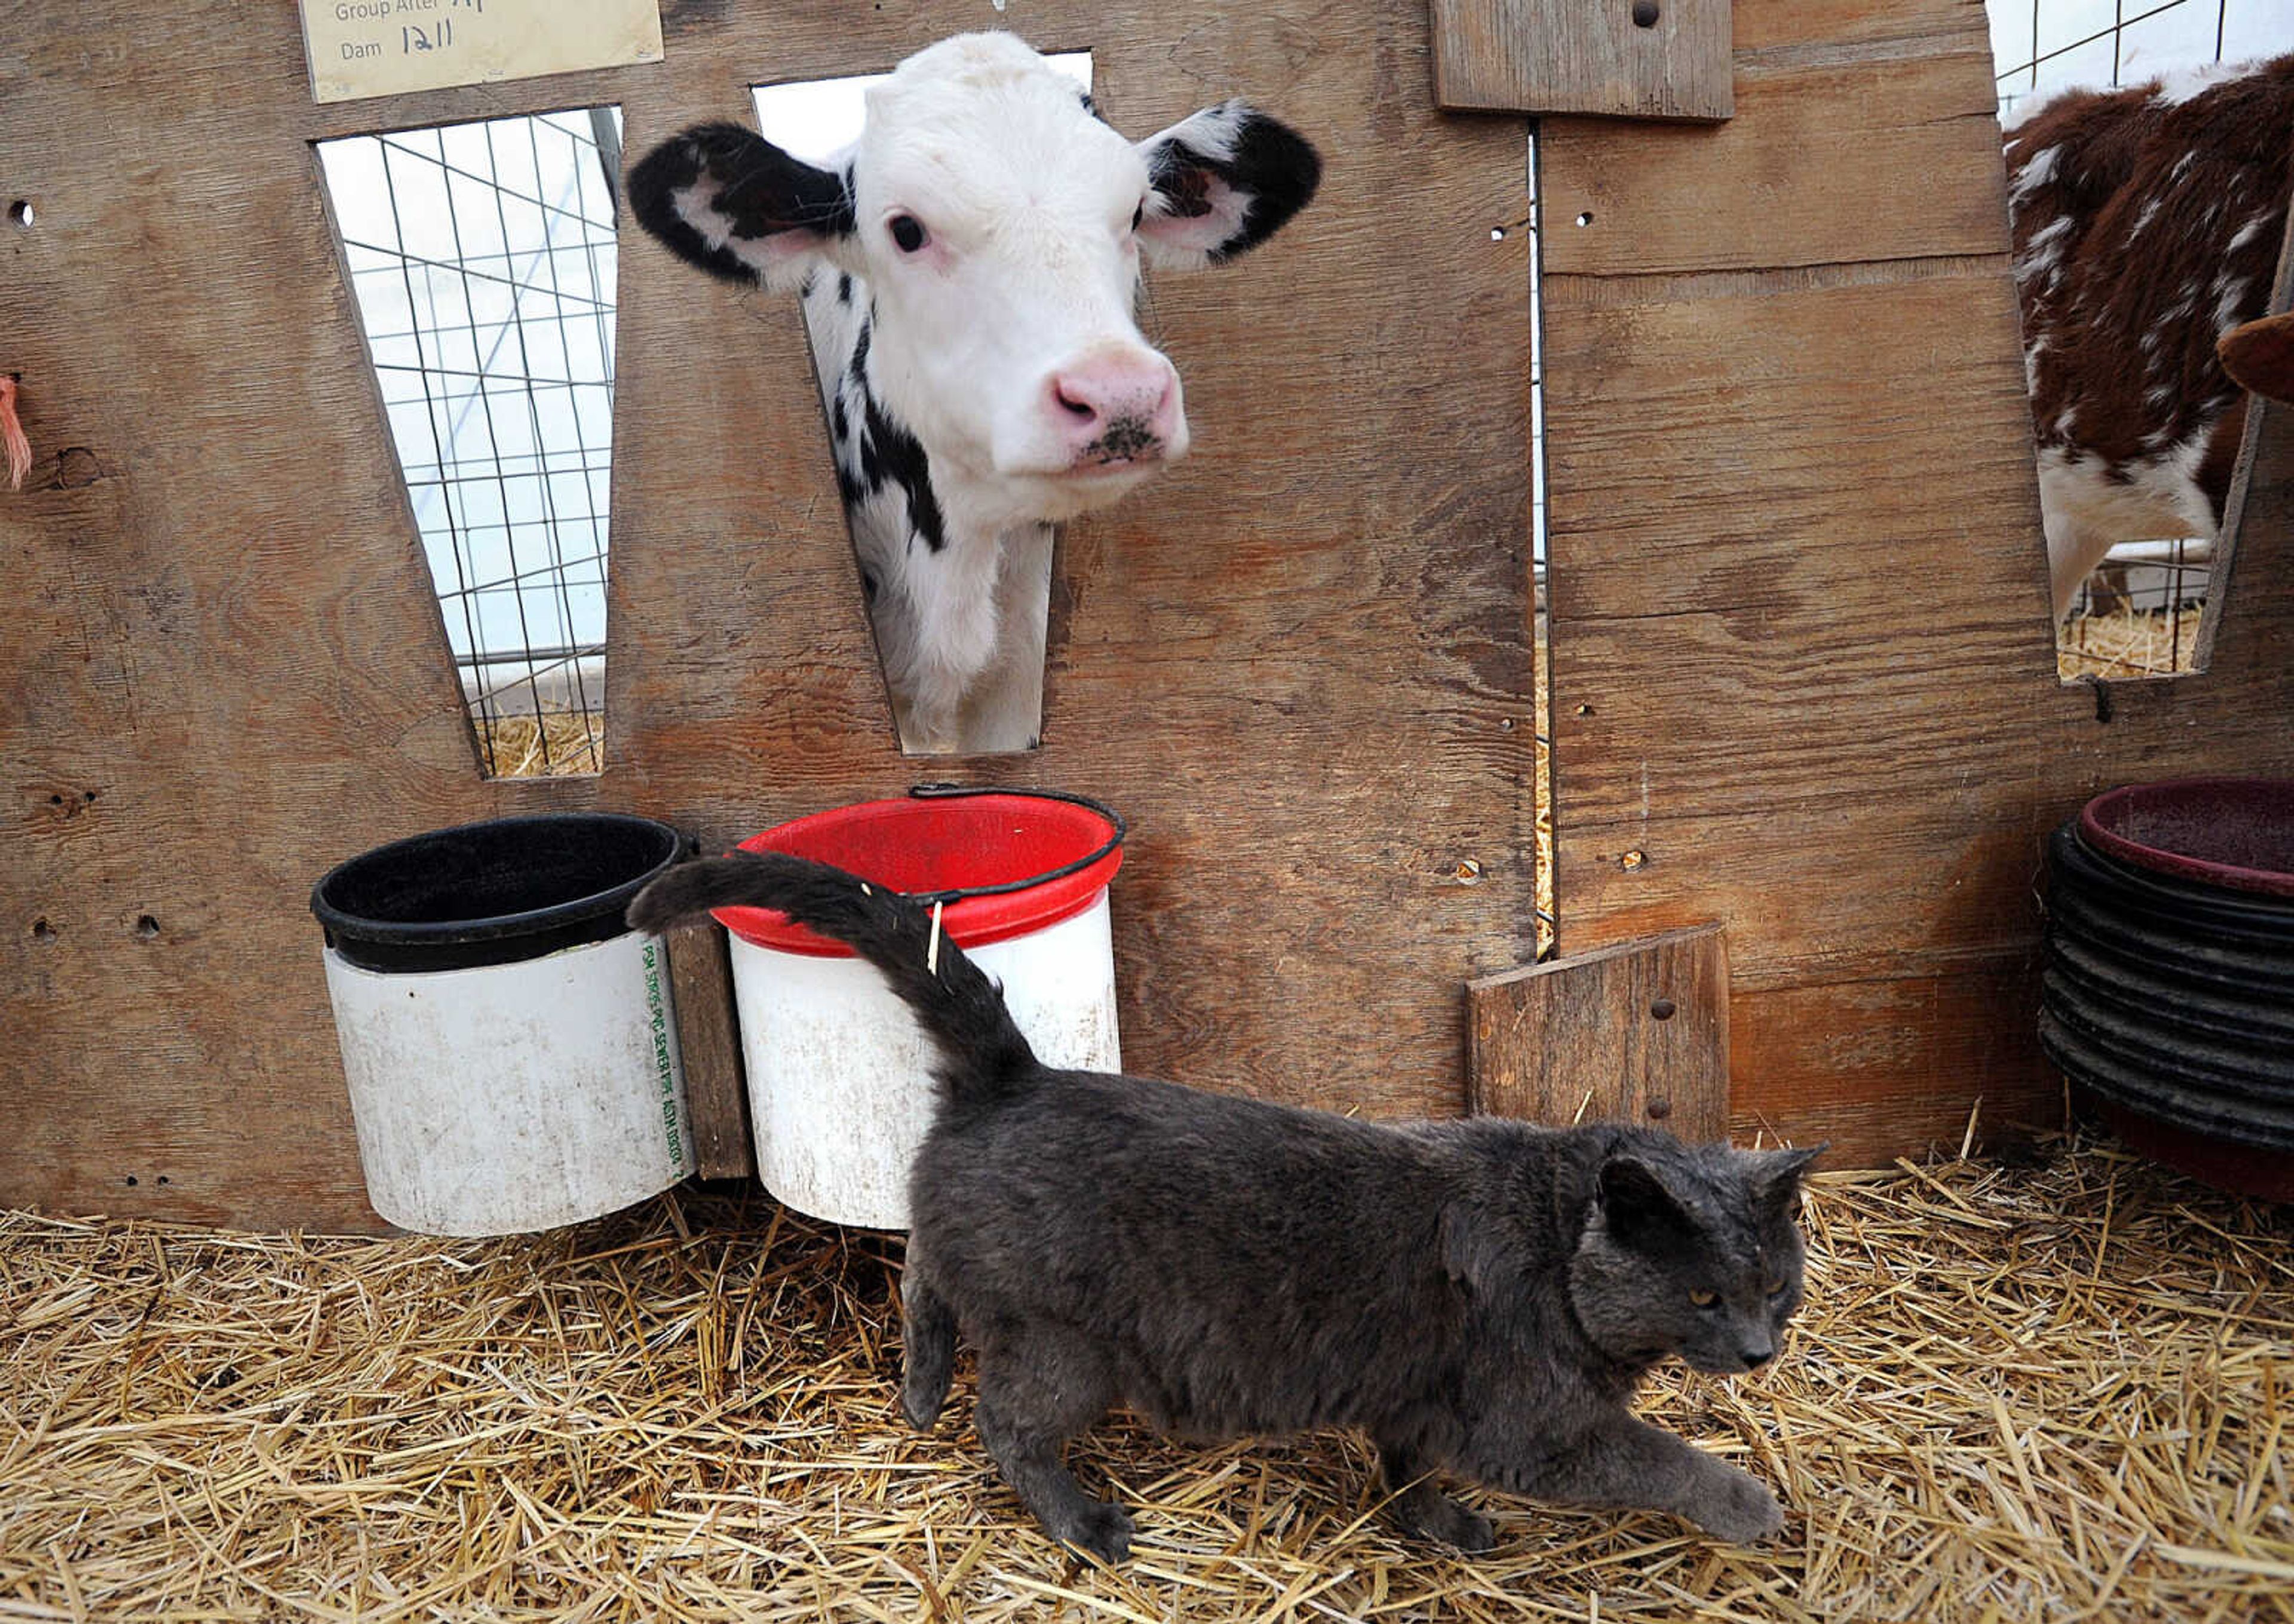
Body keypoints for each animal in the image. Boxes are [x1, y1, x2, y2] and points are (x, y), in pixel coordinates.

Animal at [619, 848, 1817, 1559]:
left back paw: (917, 1388)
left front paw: (1432, 1524)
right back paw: (1083, 1521)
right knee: (1006, 1421)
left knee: (921, 1274)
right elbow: (1655, 1458)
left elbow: (1408, 1466)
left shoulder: (1419, 1399)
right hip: (1061, 1346)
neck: (1555, 1239)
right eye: (1703, 1294)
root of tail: (1018, 1075)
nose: (1760, 1350)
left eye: (1775, 1286)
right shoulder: (1535, 1428)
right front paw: (1749, 1505)